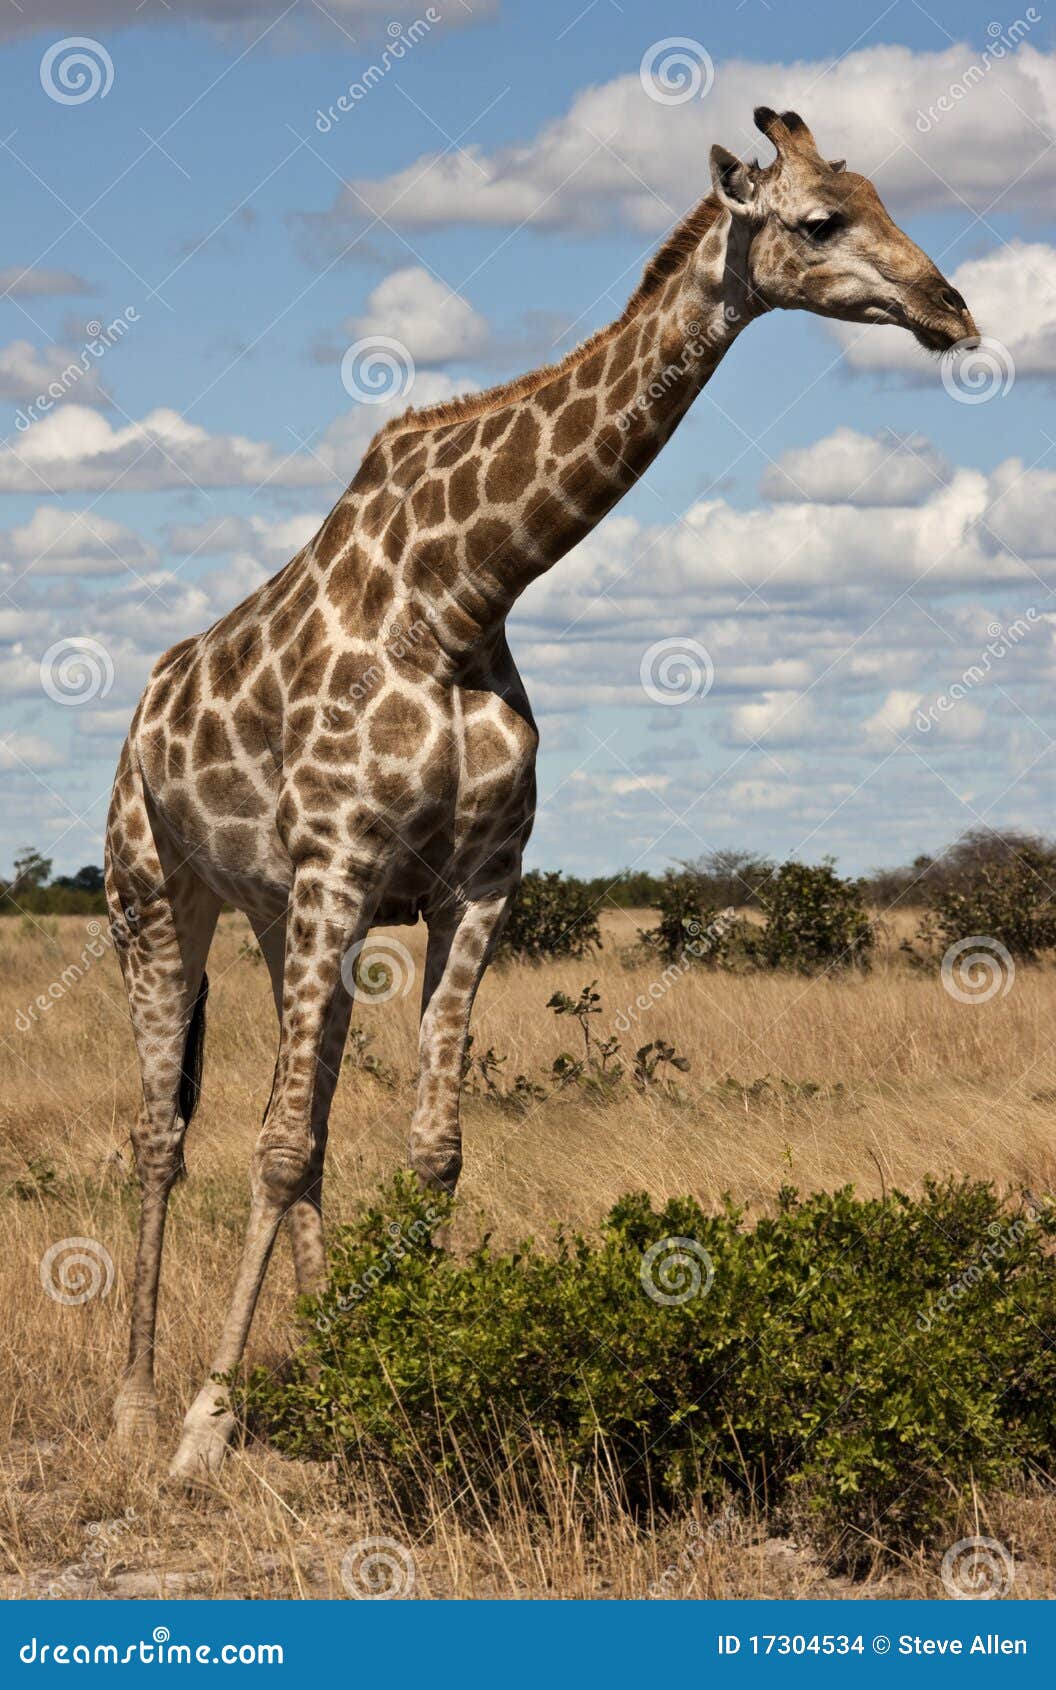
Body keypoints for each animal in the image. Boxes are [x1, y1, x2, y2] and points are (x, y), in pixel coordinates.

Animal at [104, 107, 977, 1480]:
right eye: (821, 219)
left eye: (886, 197)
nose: (954, 309)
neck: (463, 594)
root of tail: (144, 708)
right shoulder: (344, 860)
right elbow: (278, 1144)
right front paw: (207, 1426)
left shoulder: (475, 884)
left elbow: (425, 1151)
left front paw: (402, 1371)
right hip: (151, 895)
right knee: (164, 1132)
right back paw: (139, 1408)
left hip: (277, 914)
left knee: (292, 1124)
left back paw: (317, 1352)